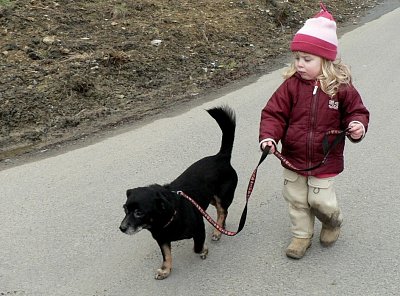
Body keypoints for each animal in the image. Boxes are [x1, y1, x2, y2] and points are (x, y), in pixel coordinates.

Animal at [119, 106, 238, 280]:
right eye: (125, 209)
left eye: (139, 212)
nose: (121, 228)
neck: (166, 220)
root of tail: (221, 156)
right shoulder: (162, 239)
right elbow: (167, 256)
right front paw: (166, 270)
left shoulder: (199, 229)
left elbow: (197, 247)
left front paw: (204, 250)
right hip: (210, 198)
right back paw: (220, 227)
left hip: (222, 196)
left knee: (223, 211)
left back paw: (218, 231)